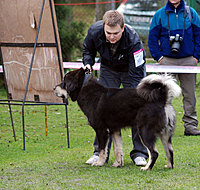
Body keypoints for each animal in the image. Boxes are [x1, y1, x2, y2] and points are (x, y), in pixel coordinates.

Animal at [53, 68, 181, 171]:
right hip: (165, 134)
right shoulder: (114, 130)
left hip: (144, 131)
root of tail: (162, 99)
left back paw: (147, 168)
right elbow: (117, 149)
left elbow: (102, 149)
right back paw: (169, 166)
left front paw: (99, 163)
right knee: (170, 150)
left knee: (154, 152)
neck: (86, 90)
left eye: (64, 82)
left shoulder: (101, 130)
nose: (54, 87)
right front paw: (118, 164)